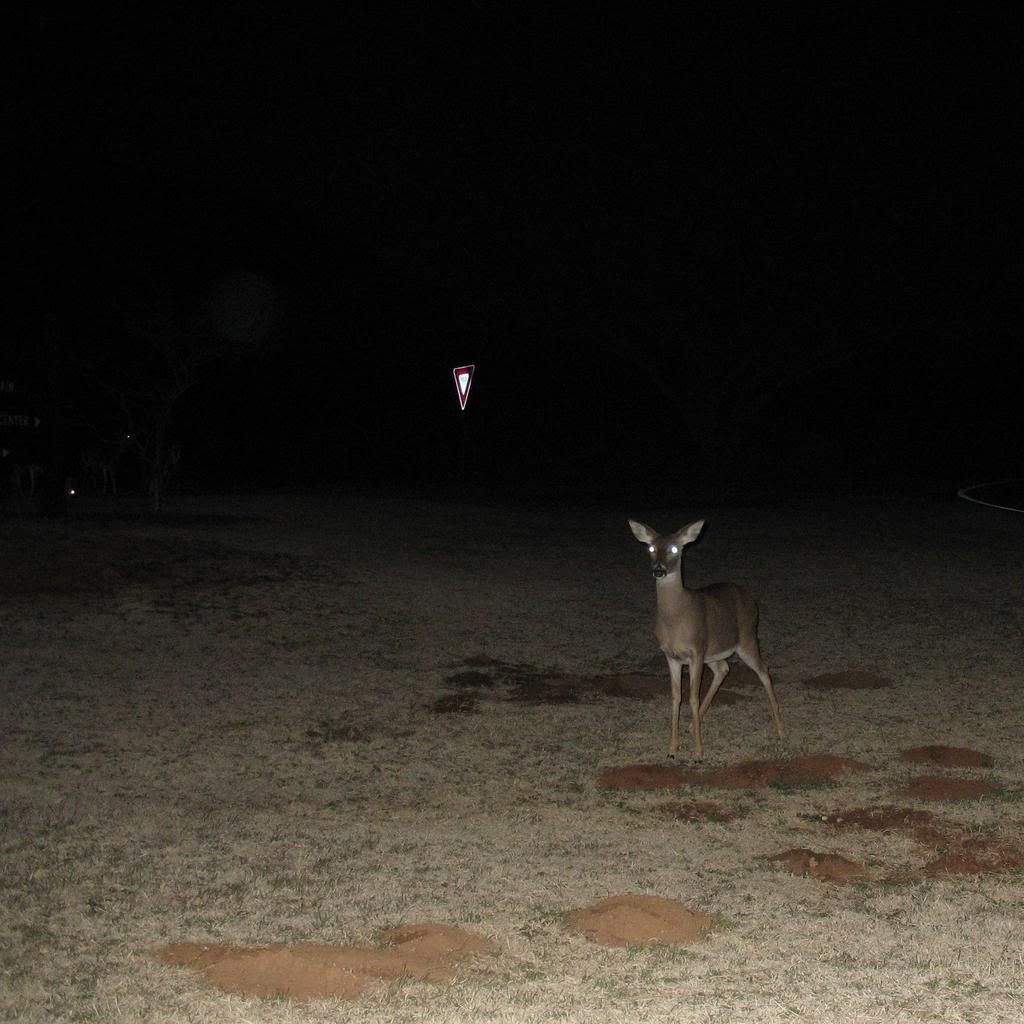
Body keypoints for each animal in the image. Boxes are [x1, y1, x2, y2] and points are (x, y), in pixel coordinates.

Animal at [622, 520, 782, 761]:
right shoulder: (671, 656)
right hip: (713, 652)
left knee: (764, 669)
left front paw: (697, 753)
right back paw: (690, 725)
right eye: (650, 548)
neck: (676, 618)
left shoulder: (696, 650)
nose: (659, 570)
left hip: (746, 638)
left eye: (674, 549)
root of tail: (750, 597)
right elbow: (676, 697)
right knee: (724, 668)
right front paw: (672, 749)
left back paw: (780, 729)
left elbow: (692, 697)